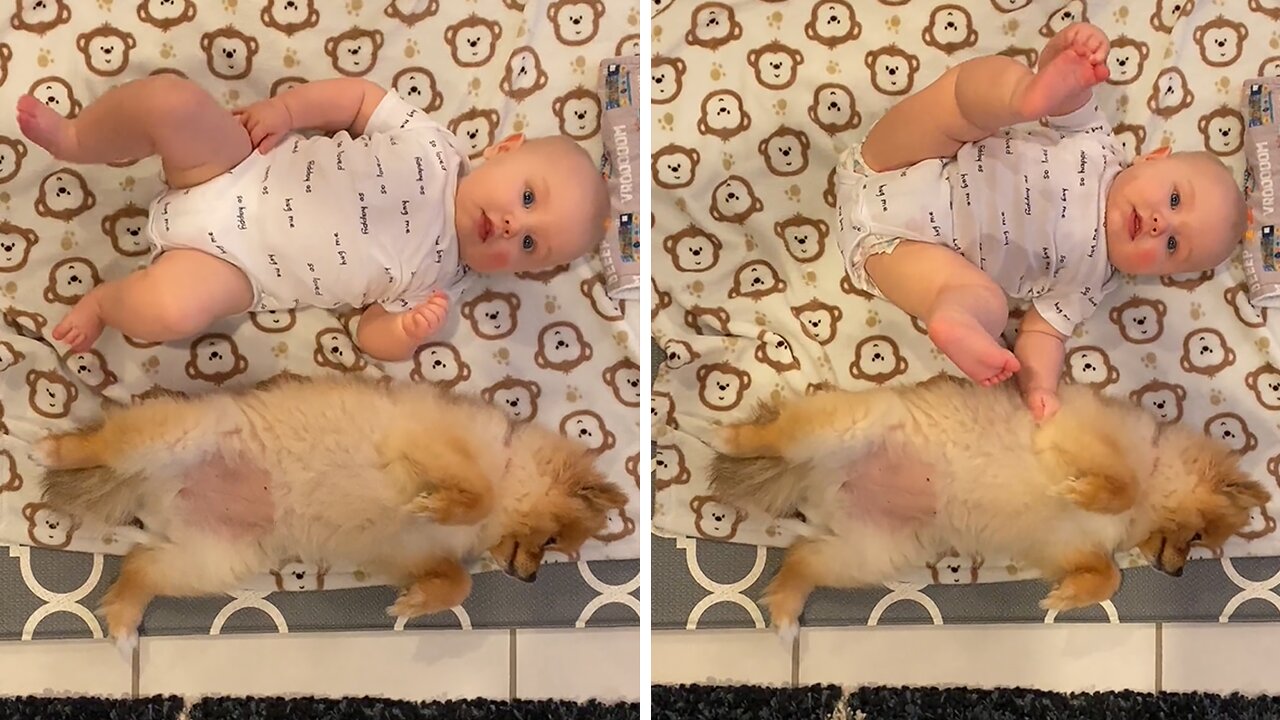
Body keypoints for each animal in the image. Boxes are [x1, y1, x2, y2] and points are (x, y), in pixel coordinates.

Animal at [33, 371, 624, 648]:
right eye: (553, 542)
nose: (530, 580)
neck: (508, 467)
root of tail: (155, 496)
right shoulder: (427, 447)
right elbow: (471, 492)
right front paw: (441, 504)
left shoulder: (408, 553)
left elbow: (457, 581)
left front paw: (415, 602)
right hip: (172, 436)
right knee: (104, 445)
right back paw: (55, 450)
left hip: (214, 559)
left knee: (138, 569)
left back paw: (123, 626)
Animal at [711, 371, 1269, 635]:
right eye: (1197, 537)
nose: (1177, 573)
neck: (1155, 470)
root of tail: (818, 484)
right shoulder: (1070, 439)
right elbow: (1119, 485)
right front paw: (1085, 492)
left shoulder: (1068, 544)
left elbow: (1107, 574)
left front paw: (1065, 596)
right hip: (844, 428)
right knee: (776, 437)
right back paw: (729, 435)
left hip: (871, 552)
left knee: (800, 561)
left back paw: (786, 618)